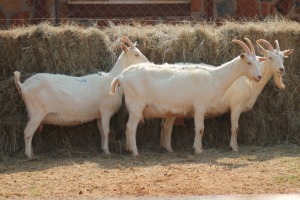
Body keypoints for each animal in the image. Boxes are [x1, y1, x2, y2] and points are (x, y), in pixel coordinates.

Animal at [14, 36, 150, 159]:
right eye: (136, 54)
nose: (148, 63)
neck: (111, 79)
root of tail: (24, 85)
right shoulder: (106, 111)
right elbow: (107, 131)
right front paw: (107, 152)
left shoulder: (99, 114)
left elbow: (102, 132)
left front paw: (102, 149)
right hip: (37, 113)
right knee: (27, 132)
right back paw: (29, 155)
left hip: (32, 114)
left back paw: (31, 153)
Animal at [111, 38, 266, 156]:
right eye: (249, 62)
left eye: (258, 62)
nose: (259, 77)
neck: (214, 78)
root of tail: (122, 76)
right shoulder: (200, 107)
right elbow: (200, 128)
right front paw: (198, 150)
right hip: (136, 107)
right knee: (130, 127)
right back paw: (135, 152)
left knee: (128, 127)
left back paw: (129, 149)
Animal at [161, 38, 294, 152]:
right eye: (270, 57)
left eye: (283, 58)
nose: (281, 69)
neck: (247, 82)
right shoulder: (236, 107)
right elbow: (235, 128)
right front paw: (234, 147)